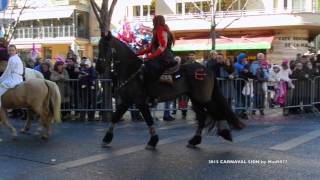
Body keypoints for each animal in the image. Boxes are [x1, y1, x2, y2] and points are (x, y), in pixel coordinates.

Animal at [96, 32, 244, 150]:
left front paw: (153, 141)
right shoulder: (127, 101)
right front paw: (106, 139)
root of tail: (207, 69)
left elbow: (148, 120)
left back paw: (225, 133)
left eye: (106, 47)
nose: (98, 68)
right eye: (98, 47)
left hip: (203, 98)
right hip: (195, 99)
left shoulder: (140, 102)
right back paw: (195, 140)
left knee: (215, 113)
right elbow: (115, 117)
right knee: (203, 117)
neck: (133, 71)